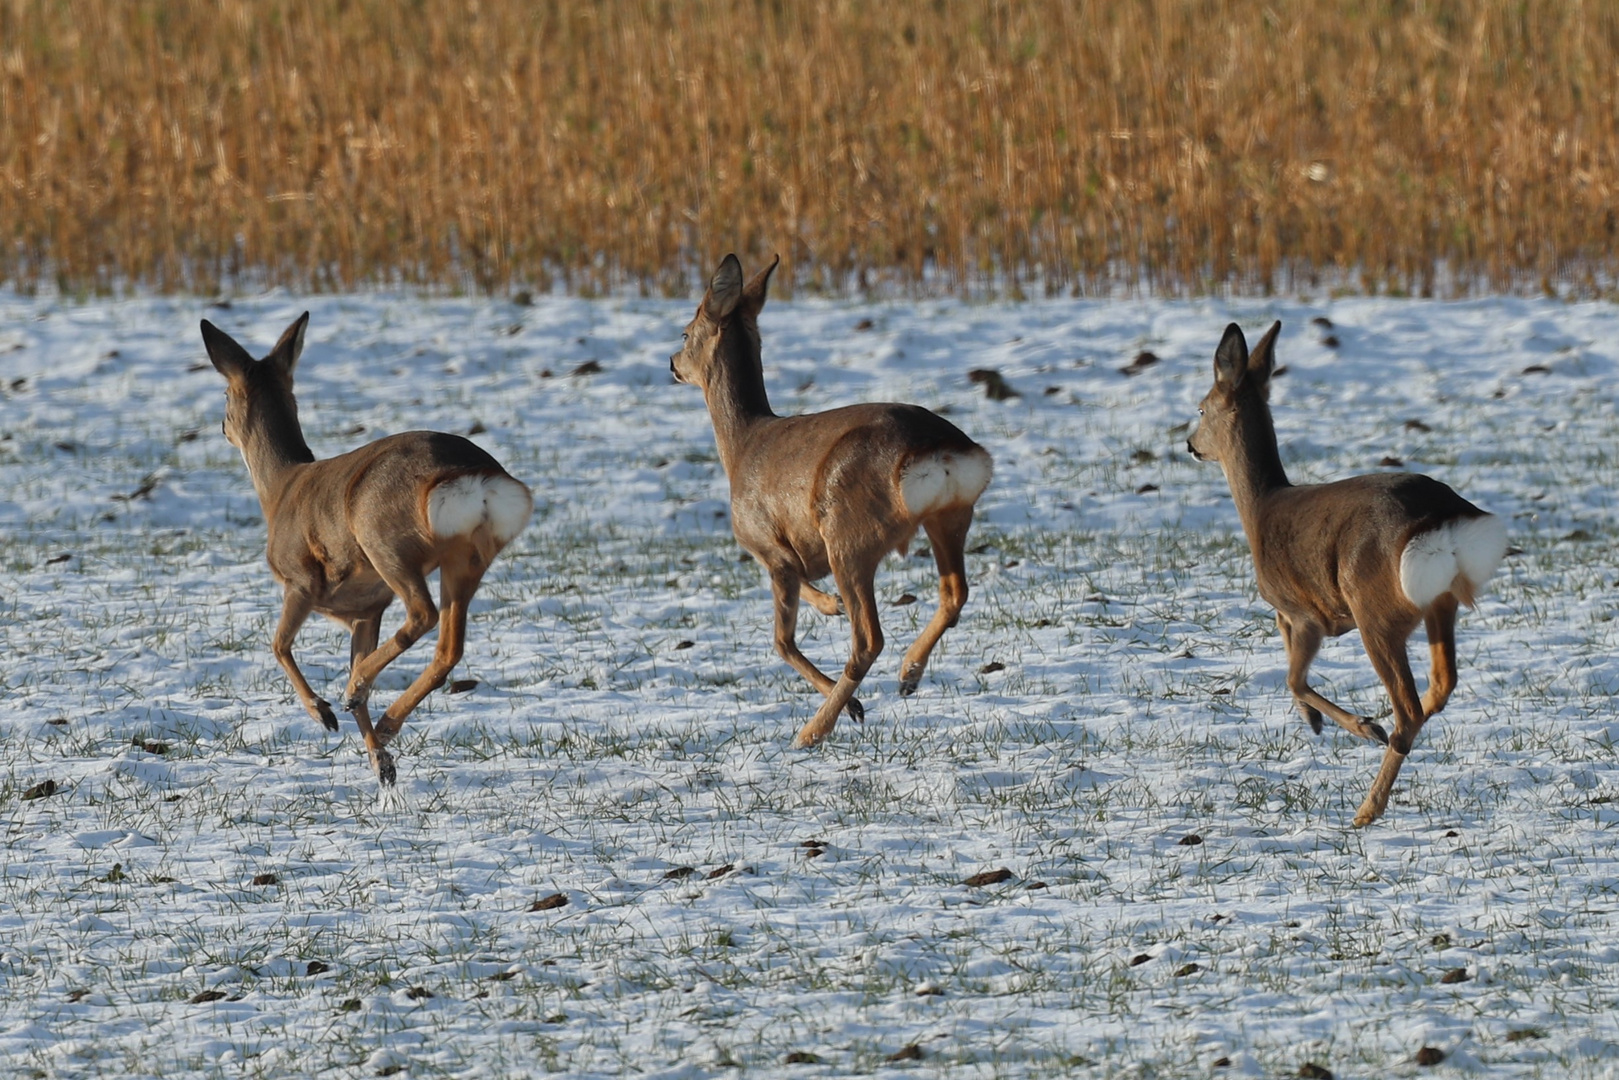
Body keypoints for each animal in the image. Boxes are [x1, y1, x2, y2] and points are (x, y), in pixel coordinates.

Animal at [199, 312, 534, 786]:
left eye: (226, 393)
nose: (222, 427)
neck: (280, 489)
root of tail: (475, 476)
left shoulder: (300, 580)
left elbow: (278, 645)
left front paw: (324, 713)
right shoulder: (366, 608)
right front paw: (381, 761)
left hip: (382, 539)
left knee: (422, 614)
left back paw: (354, 687)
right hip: (468, 557)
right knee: (449, 646)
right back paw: (385, 719)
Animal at [667, 254, 984, 748]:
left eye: (685, 332)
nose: (672, 363)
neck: (741, 447)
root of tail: (936, 448)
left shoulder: (765, 543)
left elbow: (781, 640)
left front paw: (850, 703)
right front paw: (830, 605)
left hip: (848, 532)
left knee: (868, 637)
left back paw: (814, 729)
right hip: (950, 515)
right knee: (954, 593)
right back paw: (907, 676)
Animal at [1185, 320, 1508, 829]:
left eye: (1201, 407)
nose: (1190, 445)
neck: (1260, 509)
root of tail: (1440, 518)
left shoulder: (1307, 613)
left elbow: (1293, 678)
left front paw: (1358, 725)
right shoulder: (1291, 612)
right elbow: (1286, 656)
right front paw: (1314, 720)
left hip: (1373, 608)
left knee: (1408, 708)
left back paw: (1367, 803)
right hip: (1439, 602)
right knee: (1441, 684)